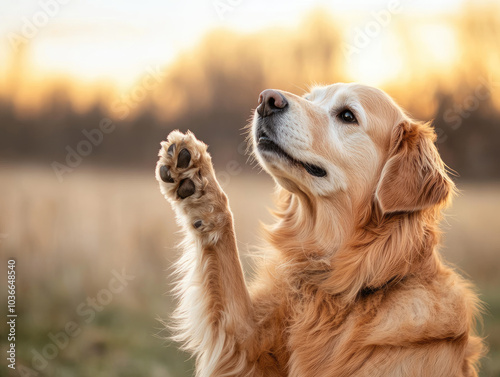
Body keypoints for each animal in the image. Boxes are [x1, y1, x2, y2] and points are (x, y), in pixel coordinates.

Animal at [154, 83, 482, 376]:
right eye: (310, 98)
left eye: (347, 115)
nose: (267, 99)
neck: (338, 288)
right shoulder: (242, 352)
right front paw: (198, 186)